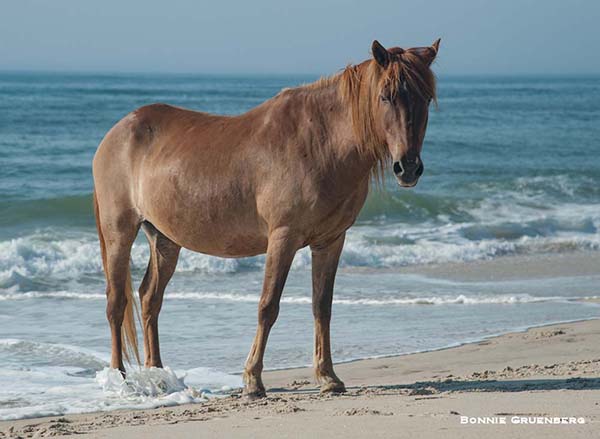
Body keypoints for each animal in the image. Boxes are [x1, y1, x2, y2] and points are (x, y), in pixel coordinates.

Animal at [92, 40, 440, 398]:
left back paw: (159, 374)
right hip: (119, 232)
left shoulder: (330, 241)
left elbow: (322, 307)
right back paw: (119, 377)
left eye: (426, 98)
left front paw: (328, 377)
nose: (408, 167)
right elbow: (268, 306)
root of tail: (117, 132)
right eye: (386, 96)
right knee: (116, 302)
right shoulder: (282, 238)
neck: (321, 143)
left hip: (164, 240)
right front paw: (253, 380)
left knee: (150, 299)